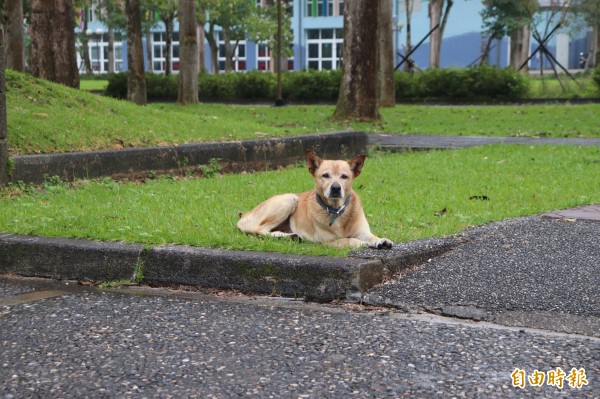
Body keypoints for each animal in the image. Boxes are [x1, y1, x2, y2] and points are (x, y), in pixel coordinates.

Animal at [239, 151, 394, 250]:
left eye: (344, 176)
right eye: (325, 175)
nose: (336, 188)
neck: (337, 211)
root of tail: (245, 215)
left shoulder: (362, 232)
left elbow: (371, 236)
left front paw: (380, 240)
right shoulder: (328, 242)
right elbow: (350, 240)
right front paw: (361, 243)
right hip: (290, 198)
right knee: (260, 230)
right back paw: (283, 236)